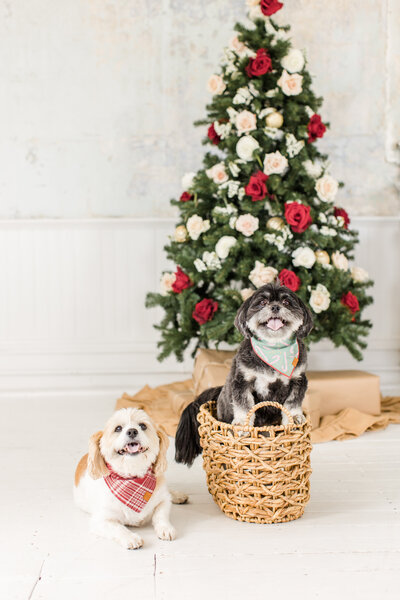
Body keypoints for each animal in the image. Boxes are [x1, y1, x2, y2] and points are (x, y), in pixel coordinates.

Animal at [74, 408, 188, 548]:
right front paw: (130, 537)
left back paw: (178, 495)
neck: (133, 478)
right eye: (118, 428)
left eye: (143, 426)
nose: (132, 431)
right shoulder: (100, 520)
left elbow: (160, 514)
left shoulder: (163, 500)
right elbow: (118, 528)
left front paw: (165, 528)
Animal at [175, 282, 312, 464]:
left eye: (287, 302)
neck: (273, 348)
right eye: (262, 302)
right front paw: (242, 424)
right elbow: (244, 404)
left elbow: (293, 402)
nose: (275, 307)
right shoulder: (242, 381)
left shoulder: (298, 379)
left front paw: (295, 418)